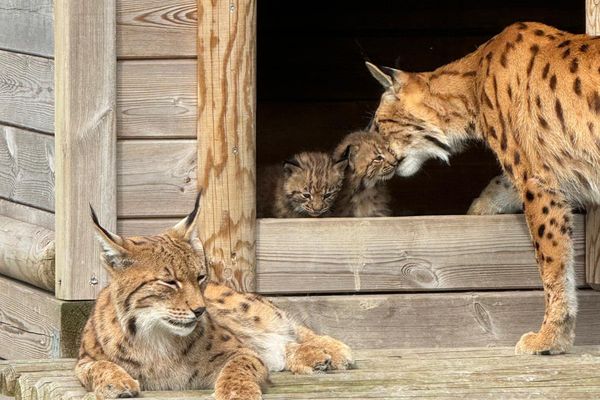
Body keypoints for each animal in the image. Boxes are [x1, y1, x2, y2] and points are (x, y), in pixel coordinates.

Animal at [77, 196, 354, 400]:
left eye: (200, 277)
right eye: (169, 282)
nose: (200, 310)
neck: (155, 335)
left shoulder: (240, 351)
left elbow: (238, 367)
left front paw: (237, 393)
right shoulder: (83, 361)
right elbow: (97, 367)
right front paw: (115, 382)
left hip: (244, 308)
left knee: (286, 327)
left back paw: (333, 349)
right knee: (277, 348)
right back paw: (314, 357)